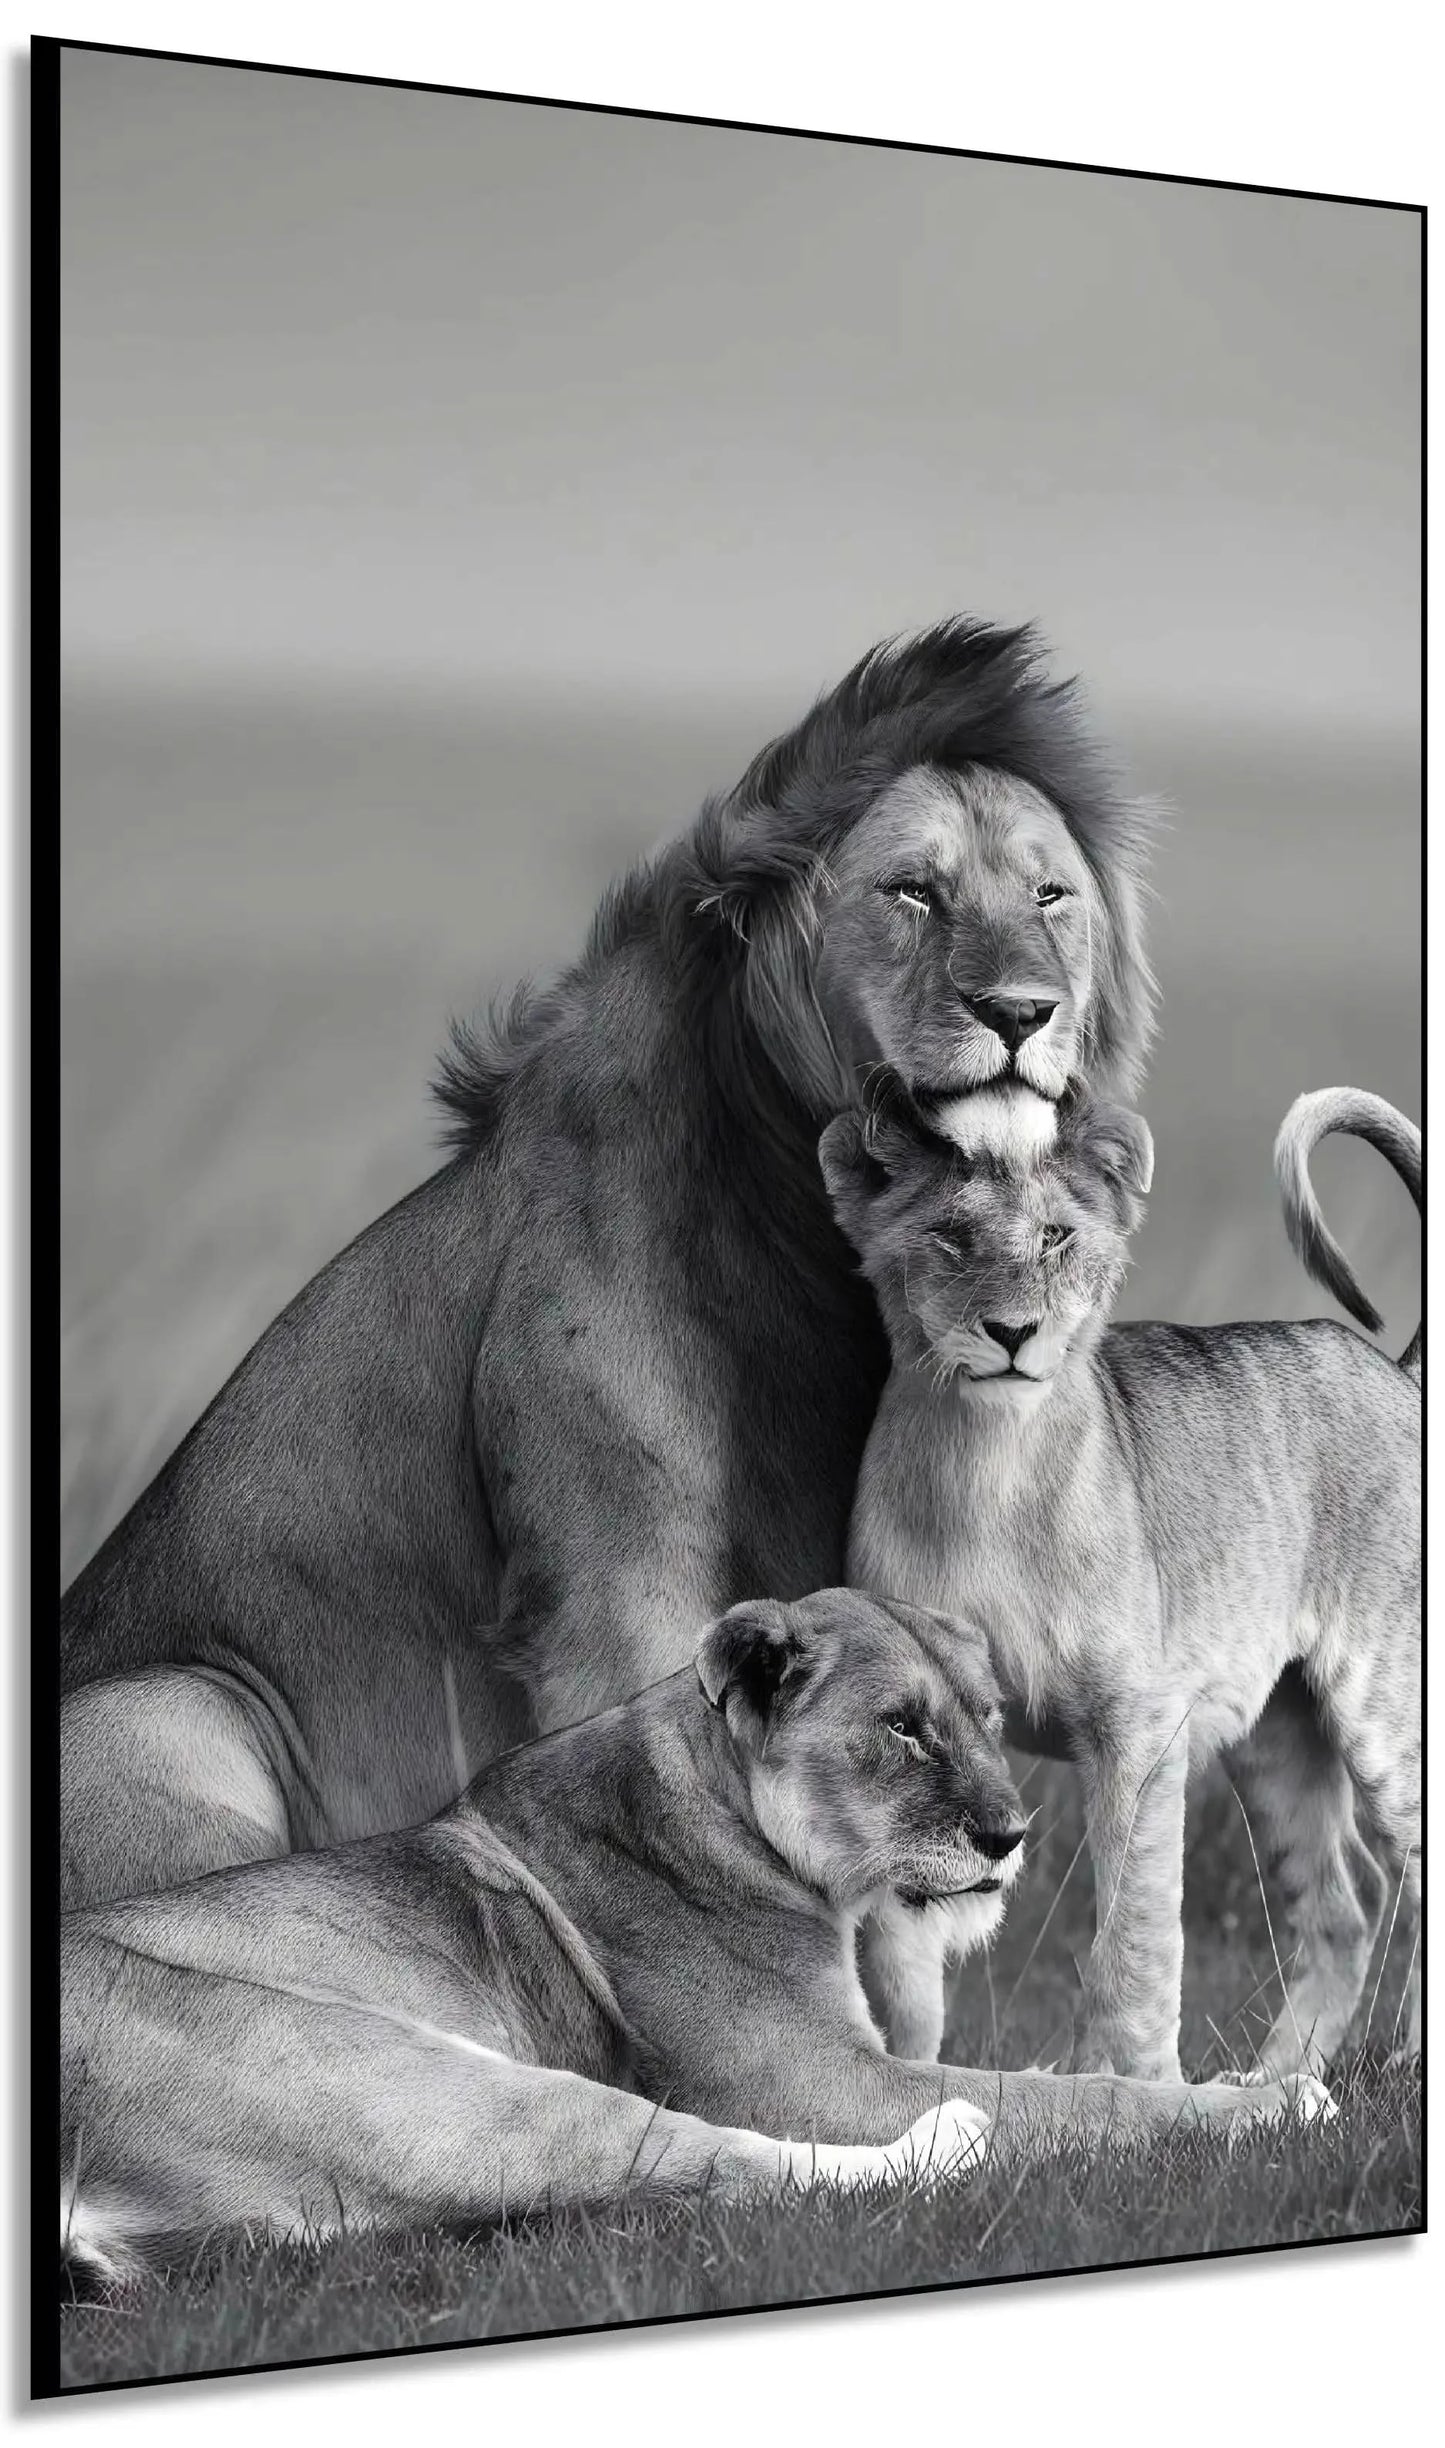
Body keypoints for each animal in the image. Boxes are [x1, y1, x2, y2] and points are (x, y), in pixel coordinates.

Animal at [59, 619, 1156, 1913]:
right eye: (911, 891)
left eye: (1048, 895)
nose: (1019, 1010)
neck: (805, 1225)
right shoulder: (616, 1597)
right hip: (173, 1706)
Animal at [61, 1589, 1327, 2295]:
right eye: (900, 1728)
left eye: (982, 1717)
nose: (1009, 1834)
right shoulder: (814, 2078)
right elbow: (1073, 2099)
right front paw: (1262, 2102)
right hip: (399, 2075)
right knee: (723, 2165)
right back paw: (949, 2139)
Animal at [820, 1082, 1420, 2082]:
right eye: (950, 1236)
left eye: (1057, 1237)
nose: (1012, 1334)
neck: (987, 1464)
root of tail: (1395, 1371)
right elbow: (902, 1965)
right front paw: (907, 2088)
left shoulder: (1137, 1726)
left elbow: (1133, 1941)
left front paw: (1136, 2090)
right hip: (1275, 1735)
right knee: (1343, 1906)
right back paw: (1275, 2083)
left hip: (1384, 1699)